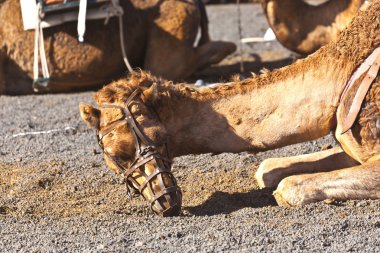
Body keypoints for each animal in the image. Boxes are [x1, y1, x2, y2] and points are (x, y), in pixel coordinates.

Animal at [78, 0, 378, 214]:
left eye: (161, 137)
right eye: (115, 156)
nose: (167, 201)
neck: (342, 72)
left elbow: (287, 187)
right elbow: (266, 169)